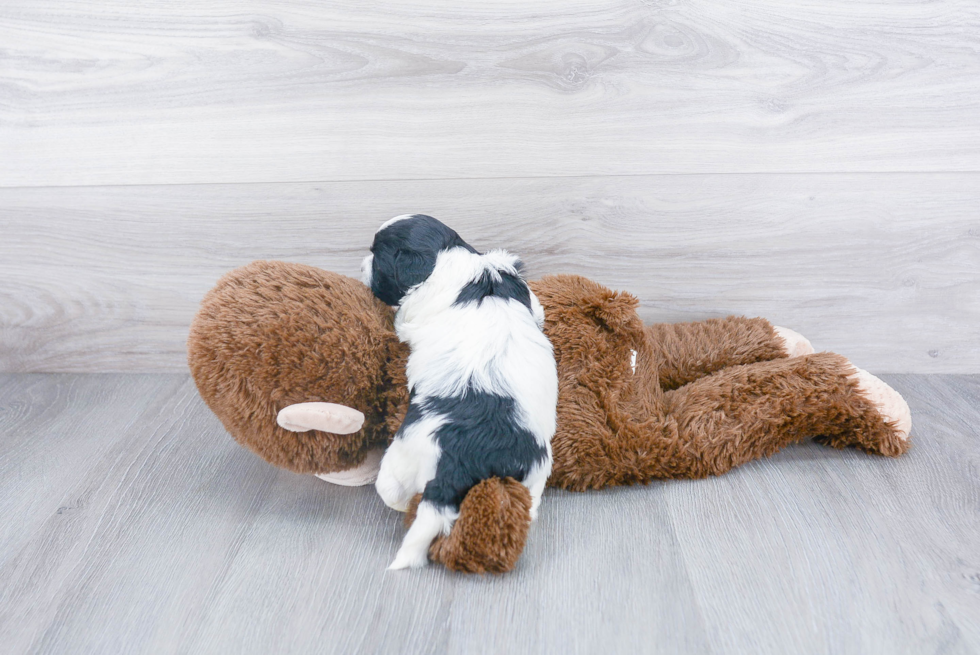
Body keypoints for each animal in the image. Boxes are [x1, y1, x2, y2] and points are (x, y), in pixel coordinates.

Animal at [362, 214, 560, 568]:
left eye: (377, 256)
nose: (361, 263)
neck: (452, 259)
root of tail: (459, 461)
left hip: (397, 464)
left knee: (394, 494)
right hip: (535, 474)